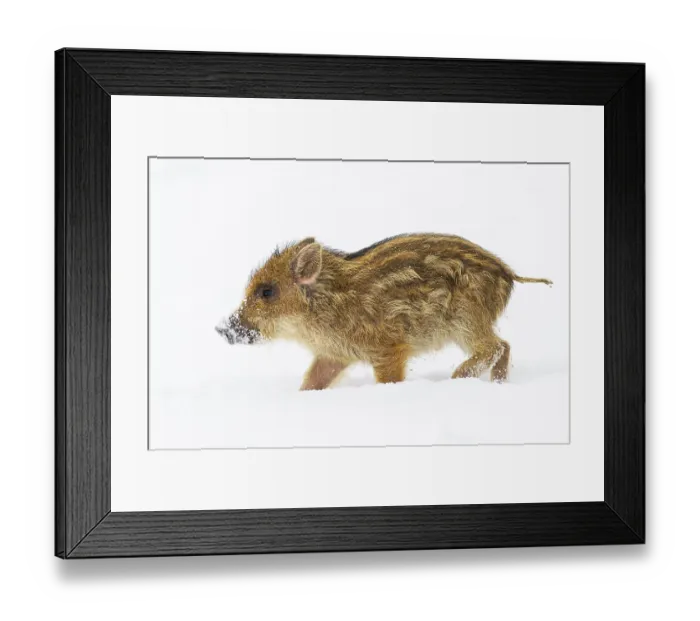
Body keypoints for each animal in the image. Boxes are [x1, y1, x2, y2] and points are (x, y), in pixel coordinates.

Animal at [217, 234, 552, 390]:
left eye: (267, 291)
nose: (223, 328)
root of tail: (508, 272)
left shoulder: (388, 348)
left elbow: (389, 380)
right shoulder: (333, 354)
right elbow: (311, 383)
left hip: (467, 320)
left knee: (494, 346)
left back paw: (457, 378)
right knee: (505, 345)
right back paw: (497, 383)